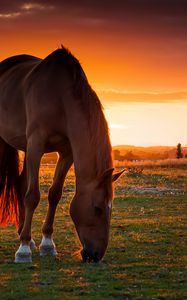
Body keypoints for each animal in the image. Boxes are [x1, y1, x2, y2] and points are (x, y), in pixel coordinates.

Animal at [0, 46, 124, 262]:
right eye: (98, 209)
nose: (96, 255)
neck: (59, 96)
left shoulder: (66, 152)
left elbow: (54, 194)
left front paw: (46, 244)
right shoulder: (36, 145)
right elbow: (32, 196)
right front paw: (23, 250)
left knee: (21, 184)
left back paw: (28, 237)